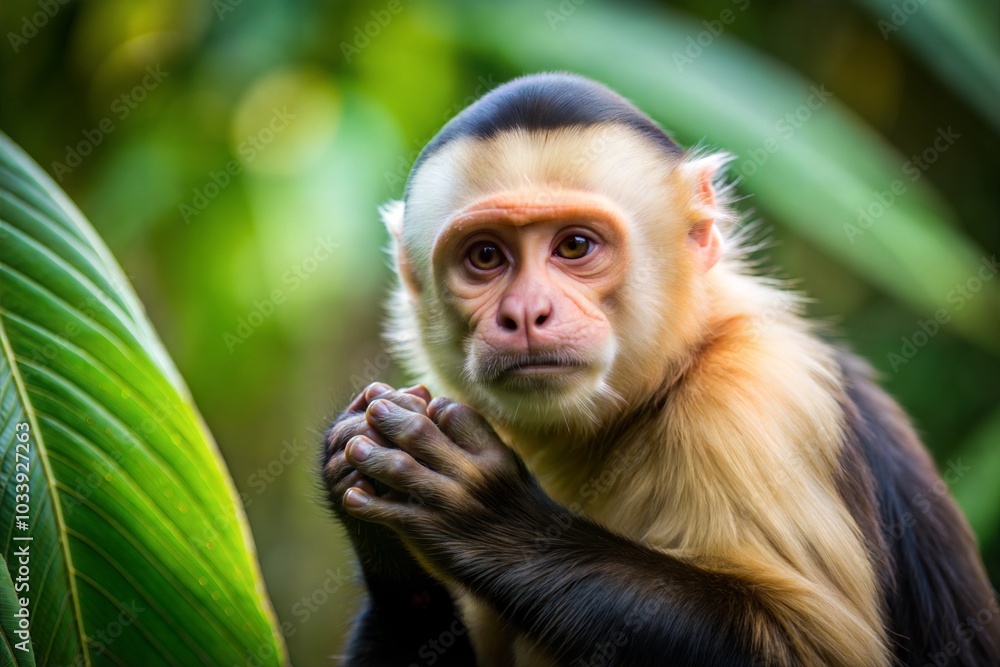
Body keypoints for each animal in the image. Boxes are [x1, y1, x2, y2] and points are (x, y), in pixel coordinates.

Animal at [320, 73, 1000, 666]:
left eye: (574, 246)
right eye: (485, 256)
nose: (525, 313)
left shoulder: (756, 393)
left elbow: (803, 647)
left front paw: (488, 518)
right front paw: (376, 528)